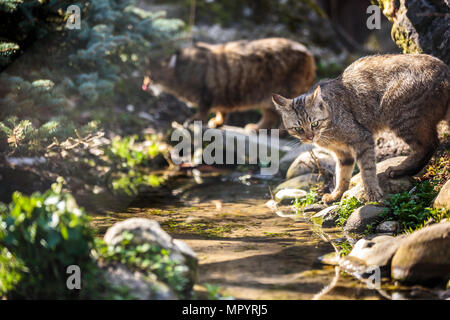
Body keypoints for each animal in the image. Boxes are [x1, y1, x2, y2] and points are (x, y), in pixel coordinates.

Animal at [149, 38, 314, 130]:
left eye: (151, 76)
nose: (145, 84)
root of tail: (308, 53)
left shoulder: (205, 94)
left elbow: (202, 110)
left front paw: (193, 120)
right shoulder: (221, 94)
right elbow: (221, 111)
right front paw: (217, 122)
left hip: (279, 94)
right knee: (270, 117)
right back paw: (258, 128)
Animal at [272, 52, 448, 202]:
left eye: (314, 123)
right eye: (298, 128)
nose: (310, 137)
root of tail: (445, 70)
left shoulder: (362, 139)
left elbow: (367, 169)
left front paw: (372, 192)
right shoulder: (342, 154)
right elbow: (342, 174)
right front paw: (337, 194)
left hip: (401, 116)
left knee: (428, 145)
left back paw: (400, 170)